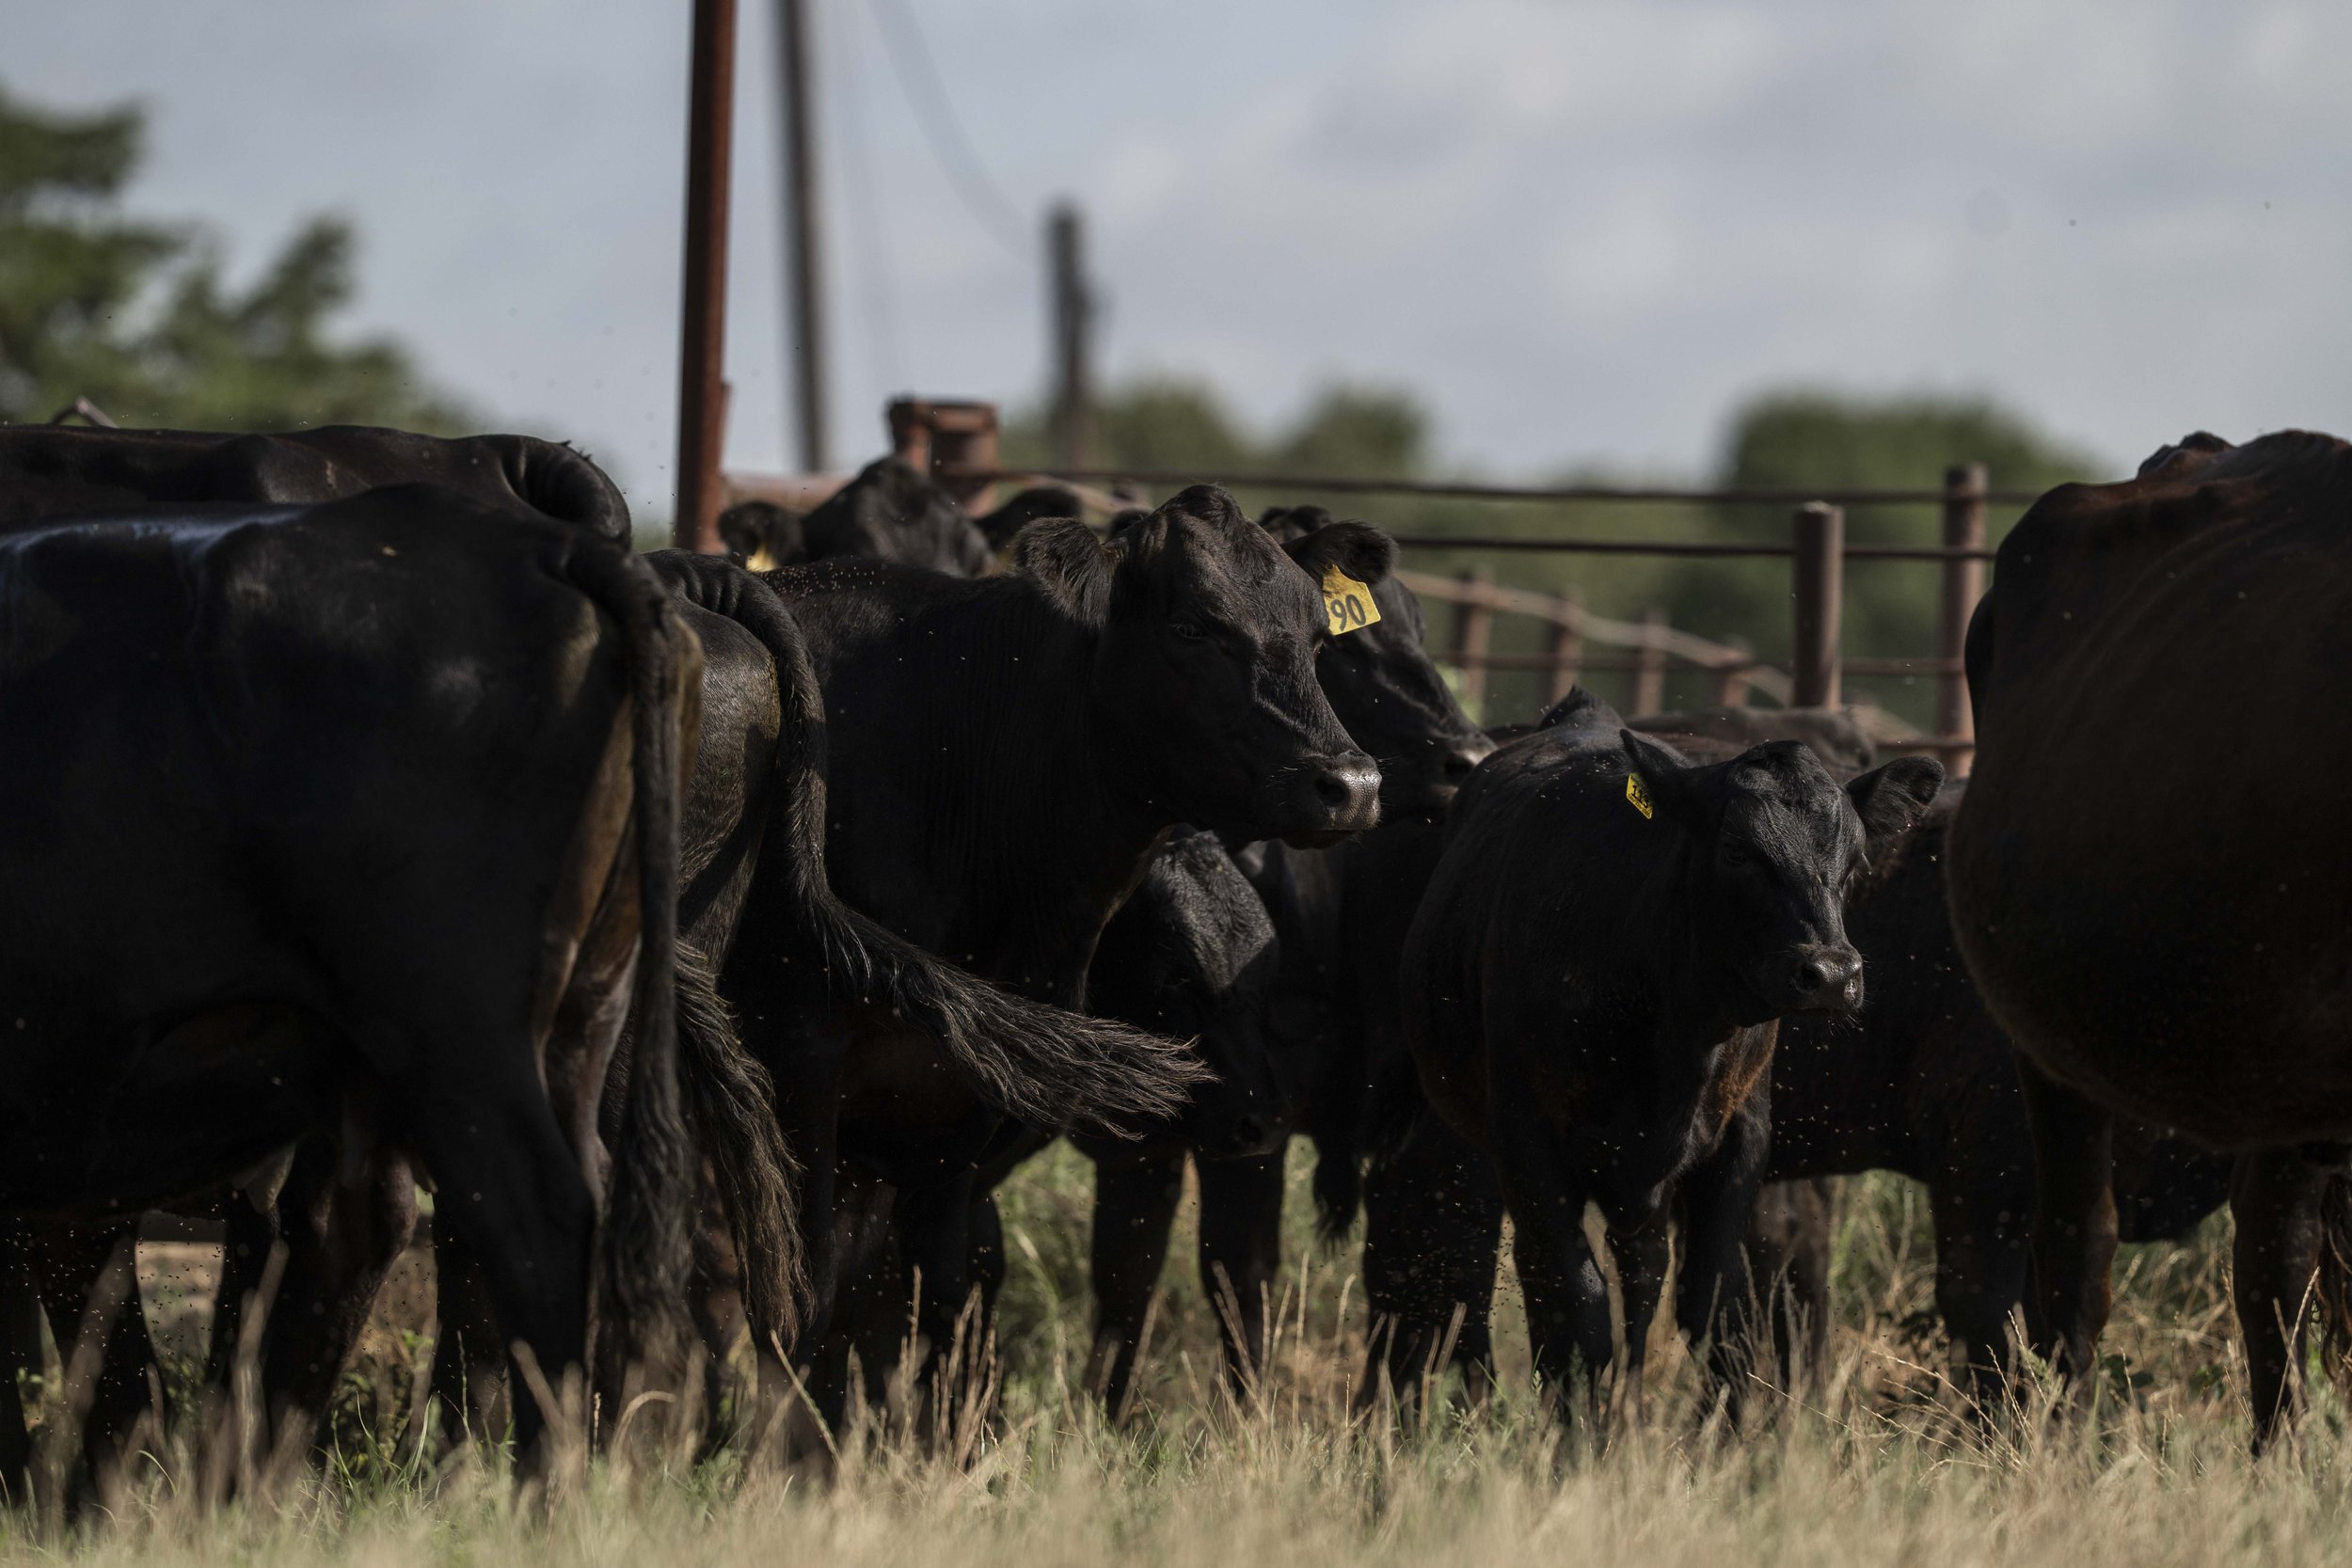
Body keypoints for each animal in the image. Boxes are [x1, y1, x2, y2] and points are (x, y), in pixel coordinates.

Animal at [1373, 689, 1940, 1421]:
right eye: (1738, 851)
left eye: (1855, 861)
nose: (1832, 972)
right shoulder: (1529, 1146)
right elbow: (1576, 1309)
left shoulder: (1739, 1139)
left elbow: (1714, 1304)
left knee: (1644, 1274)